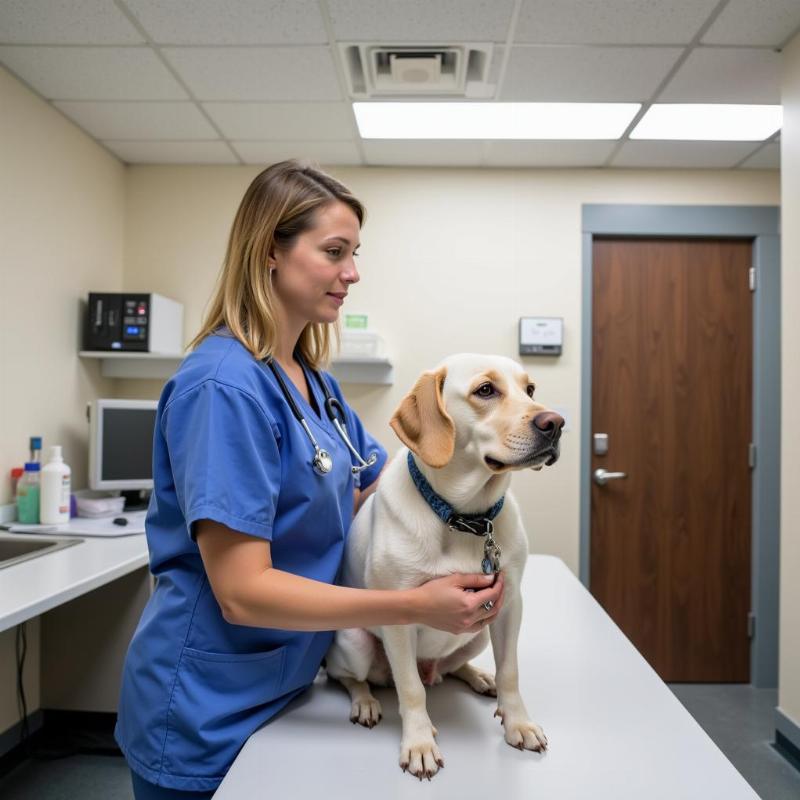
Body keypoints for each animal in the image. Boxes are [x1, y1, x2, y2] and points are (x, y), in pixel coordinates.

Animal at [324, 354, 564, 780]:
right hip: (354, 642)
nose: (555, 423)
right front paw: (419, 743)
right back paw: (364, 700)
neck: (465, 517)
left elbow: (511, 672)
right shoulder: (399, 619)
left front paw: (518, 722)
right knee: (352, 677)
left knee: (450, 669)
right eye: (485, 390)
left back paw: (478, 676)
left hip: (480, 632)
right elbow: (411, 690)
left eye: (530, 389)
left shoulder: (509, 605)